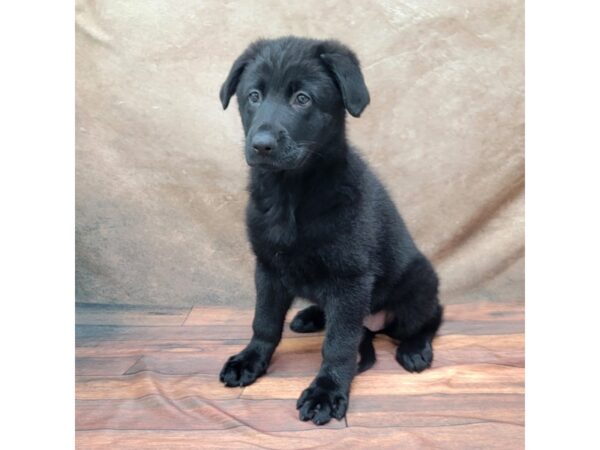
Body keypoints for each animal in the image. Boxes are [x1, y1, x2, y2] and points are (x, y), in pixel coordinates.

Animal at [218, 36, 442, 426]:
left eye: (302, 98)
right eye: (254, 96)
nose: (261, 145)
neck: (291, 195)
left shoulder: (349, 278)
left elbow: (338, 344)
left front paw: (326, 391)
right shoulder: (268, 268)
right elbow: (264, 322)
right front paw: (250, 360)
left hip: (418, 285)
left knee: (431, 316)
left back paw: (415, 348)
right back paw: (310, 316)